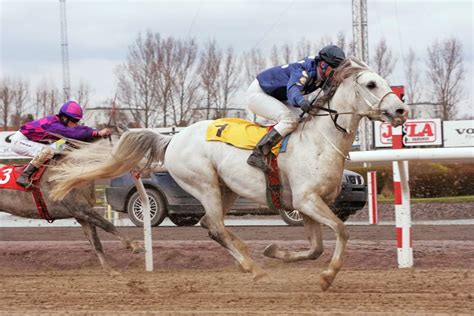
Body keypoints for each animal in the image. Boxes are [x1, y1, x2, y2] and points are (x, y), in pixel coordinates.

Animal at [0, 157, 142, 274]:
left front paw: (110, 270)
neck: (74, 173)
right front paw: (134, 245)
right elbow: (107, 224)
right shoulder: (80, 209)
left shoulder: (82, 216)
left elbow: (96, 242)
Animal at [51, 57, 408, 292]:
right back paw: (253, 267)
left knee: (210, 225)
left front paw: (275, 251)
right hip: (204, 183)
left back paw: (250, 261)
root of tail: (172, 139)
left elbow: (316, 248)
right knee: (216, 226)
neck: (320, 140)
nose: (401, 110)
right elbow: (342, 233)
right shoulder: (307, 201)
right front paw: (327, 276)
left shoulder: (307, 205)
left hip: (227, 190)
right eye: (371, 83)